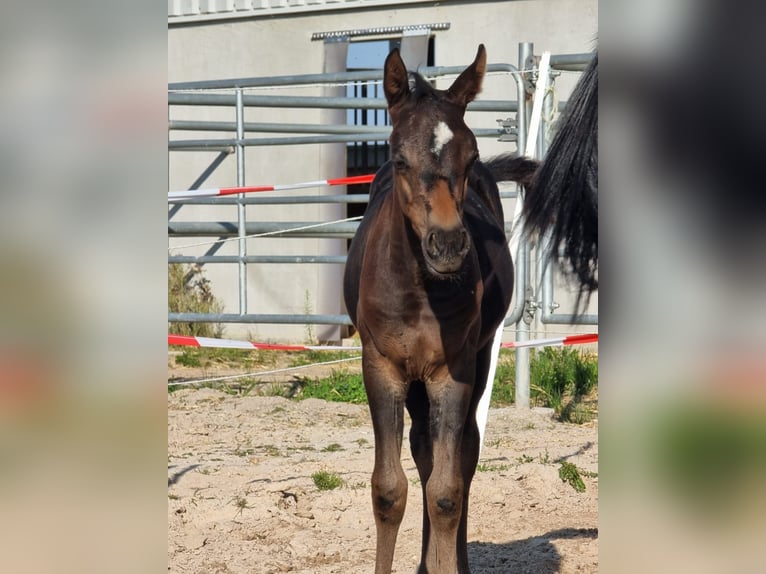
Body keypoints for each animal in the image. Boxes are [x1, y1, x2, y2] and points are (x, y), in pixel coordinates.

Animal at [346, 45, 520, 574]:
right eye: (399, 159)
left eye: (471, 157)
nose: (446, 245)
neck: (419, 289)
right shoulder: (382, 367)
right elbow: (388, 489)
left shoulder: (451, 370)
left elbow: (446, 491)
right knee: (423, 452)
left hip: (478, 357)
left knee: (462, 456)